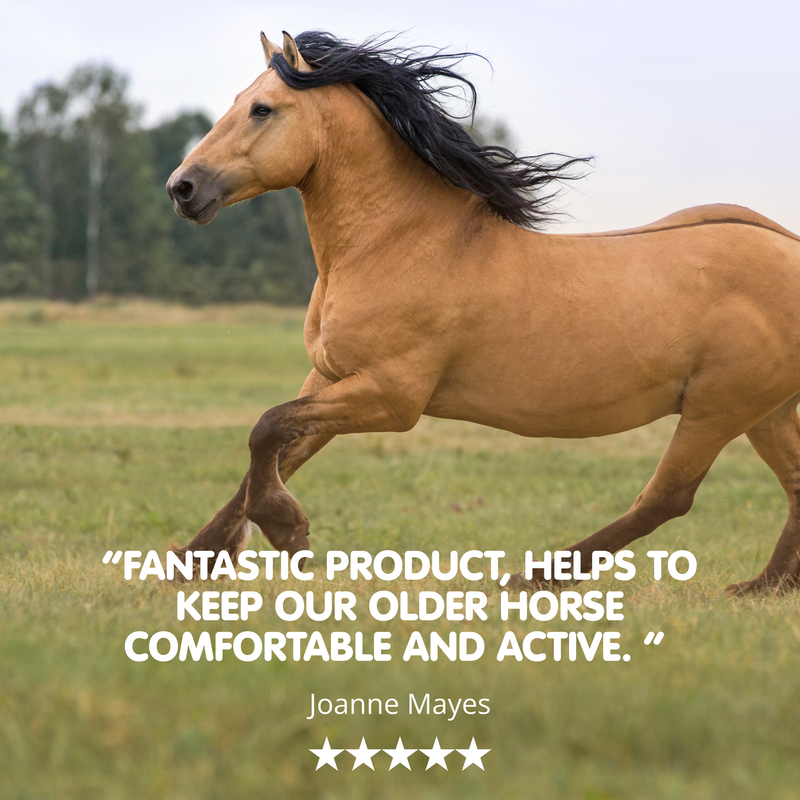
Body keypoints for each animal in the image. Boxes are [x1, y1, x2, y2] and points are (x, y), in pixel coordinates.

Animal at [167, 30, 800, 596]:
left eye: (262, 109)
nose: (182, 188)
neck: (396, 243)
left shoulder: (392, 396)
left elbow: (267, 428)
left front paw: (287, 531)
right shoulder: (331, 377)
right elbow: (278, 448)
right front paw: (193, 560)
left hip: (718, 409)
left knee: (666, 499)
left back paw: (531, 578)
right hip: (764, 411)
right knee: (792, 485)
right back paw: (764, 587)